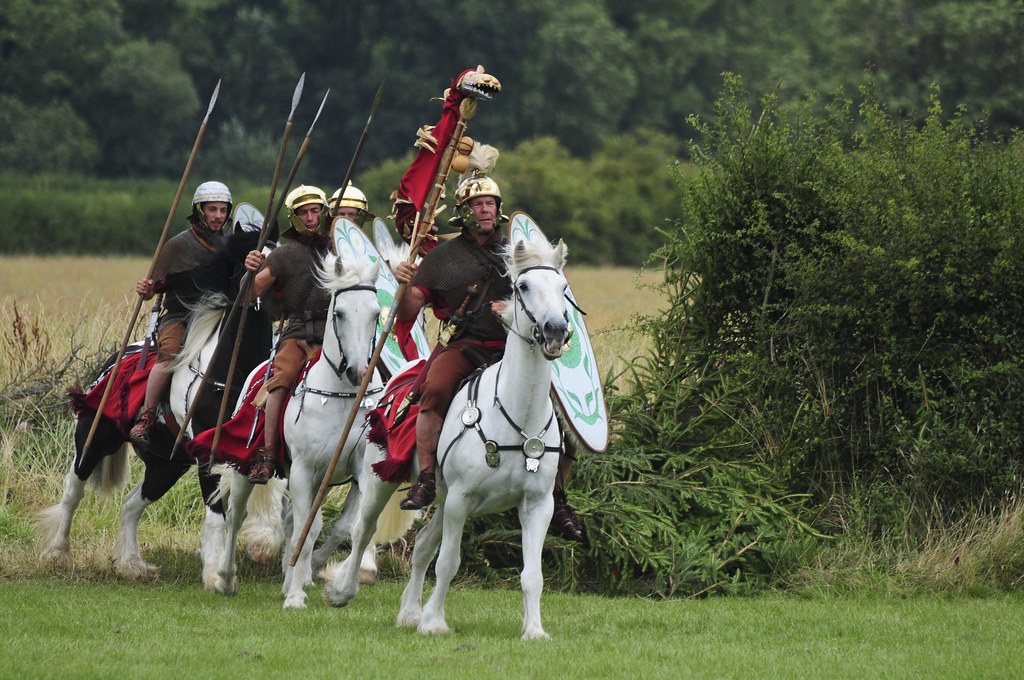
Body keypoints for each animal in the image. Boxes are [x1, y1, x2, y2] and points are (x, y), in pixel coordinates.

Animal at [214, 249, 413, 606]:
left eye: (376, 314)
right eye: (340, 313)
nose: (358, 371)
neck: (341, 396)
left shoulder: (358, 475)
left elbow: (341, 528)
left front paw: (321, 575)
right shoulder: (304, 470)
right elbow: (303, 535)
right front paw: (294, 595)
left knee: (298, 520)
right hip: (246, 466)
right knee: (237, 514)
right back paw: (225, 578)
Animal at [323, 237, 573, 639]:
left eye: (563, 288)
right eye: (523, 286)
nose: (554, 330)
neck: (516, 412)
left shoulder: (538, 505)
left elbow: (531, 575)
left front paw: (534, 630)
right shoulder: (460, 499)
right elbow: (449, 563)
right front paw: (436, 622)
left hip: (441, 497)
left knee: (423, 546)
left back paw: (410, 613)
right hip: (384, 479)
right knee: (364, 530)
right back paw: (344, 589)